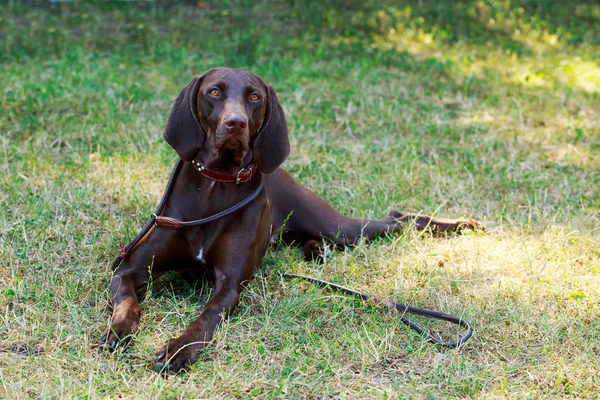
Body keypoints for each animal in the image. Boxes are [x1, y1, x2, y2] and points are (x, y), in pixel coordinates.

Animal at [99, 68, 482, 372]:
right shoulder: (129, 268)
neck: (215, 186)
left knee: (397, 220)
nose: (235, 124)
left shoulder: (229, 285)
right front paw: (117, 332)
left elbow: (206, 315)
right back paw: (316, 250)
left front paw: (178, 348)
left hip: (338, 226)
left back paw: (461, 225)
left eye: (254, 96)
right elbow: (127, 304)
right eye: (214, 92)